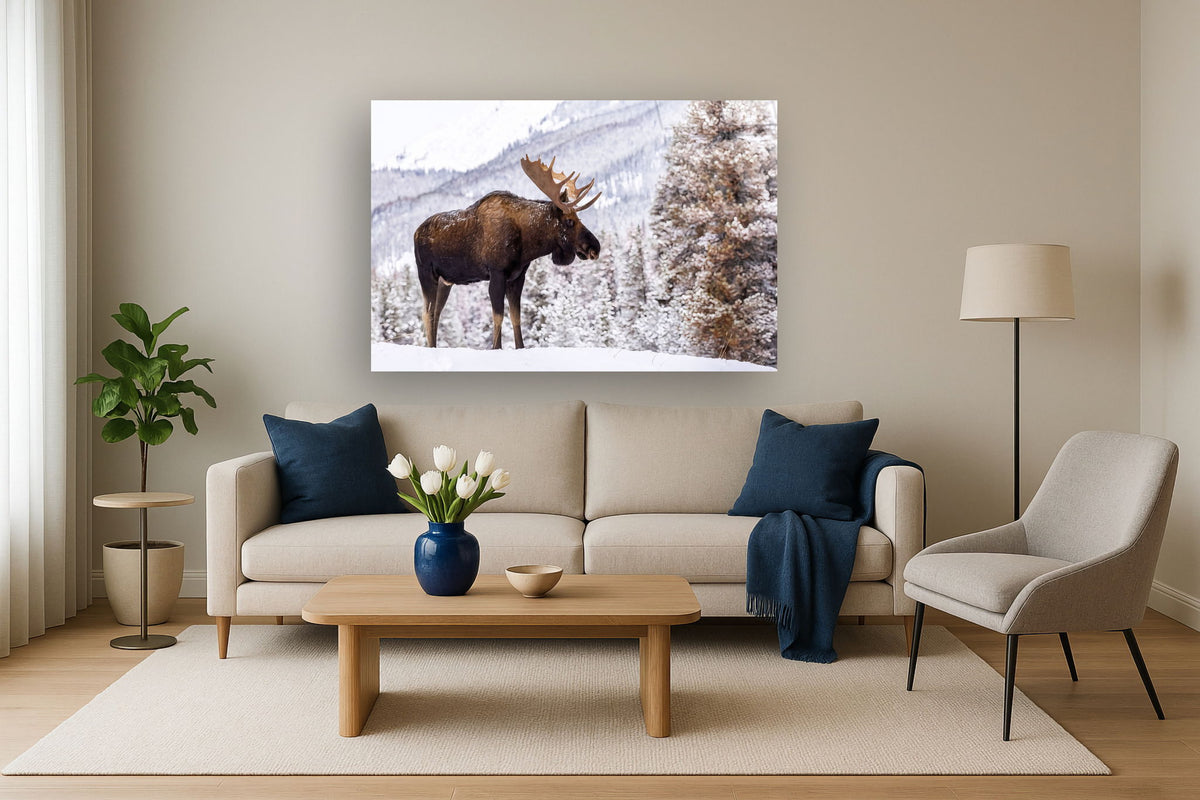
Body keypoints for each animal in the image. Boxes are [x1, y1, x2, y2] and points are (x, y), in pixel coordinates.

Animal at [413, 155, 601, 349]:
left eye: (579, 218)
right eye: (570, 221)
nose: (595, 247)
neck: (527, 243)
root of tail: (416, 233)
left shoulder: (517, 277)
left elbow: (515, 317)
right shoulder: (497, 273)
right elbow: (498, 317)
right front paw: (496, 347)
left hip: (445, 281)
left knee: (436, 312)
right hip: (426, 273)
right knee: (427, 313)